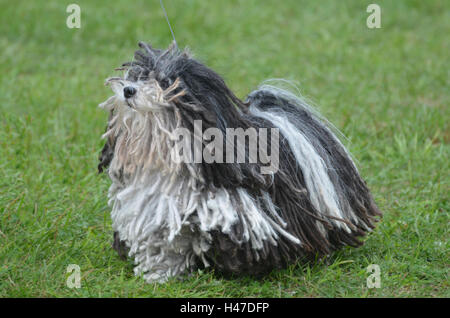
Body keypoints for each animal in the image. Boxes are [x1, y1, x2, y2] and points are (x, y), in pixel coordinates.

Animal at [96, 41, 382, 282]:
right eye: (137, 75)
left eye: (165, 82)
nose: (128, 90)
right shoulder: (156, 209)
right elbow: (167, 243)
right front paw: (160, 274)